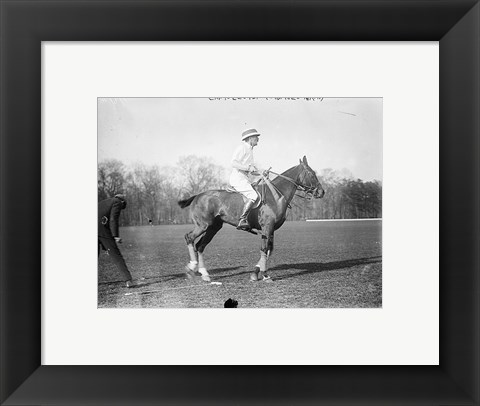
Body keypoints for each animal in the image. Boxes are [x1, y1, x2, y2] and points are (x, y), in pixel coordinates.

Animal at [177, 155, 326, 282]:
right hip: (203, 225)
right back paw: (192, 268)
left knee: (200, 246)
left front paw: (256, 274)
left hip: (214, 227)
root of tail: (197, 195)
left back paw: (204, 274)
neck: (277, 195)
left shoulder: (271, 229)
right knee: (189, 238)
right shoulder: (267, 226)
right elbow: (264, 249)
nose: (321, 192)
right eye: (311, 174)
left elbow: (269, 249)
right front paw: (265, 275)